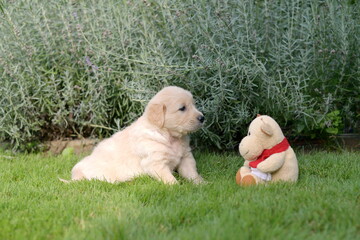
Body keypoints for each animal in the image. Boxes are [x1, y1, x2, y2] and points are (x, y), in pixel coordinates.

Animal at [70, 86, 205, 184]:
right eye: (182, 108)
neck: (169, 136)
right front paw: (177, 187)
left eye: (193, 105)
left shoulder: (186, 157)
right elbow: (169, 178)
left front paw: (202, 184)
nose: (202, 118)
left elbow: (192, 173)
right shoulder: (155, 162)